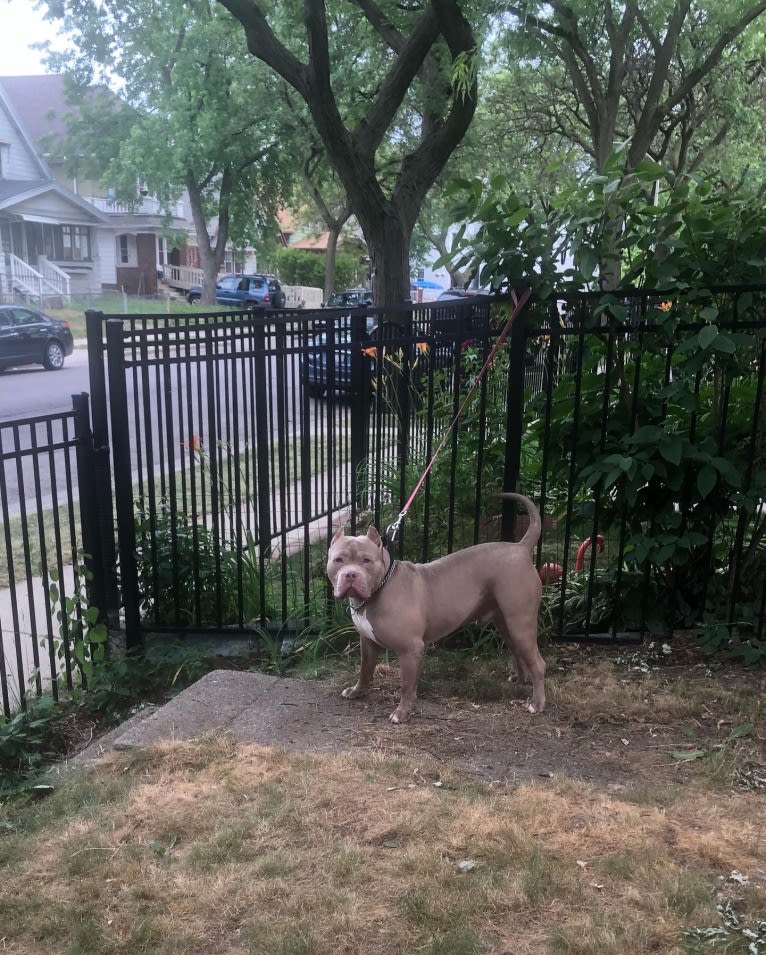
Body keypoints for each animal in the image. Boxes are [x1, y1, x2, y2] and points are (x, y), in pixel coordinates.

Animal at [328, 492, 544, 724]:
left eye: (366, 560)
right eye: (338, 560)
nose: (351, 574)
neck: (380, 587)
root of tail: (520, 548)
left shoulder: (410, 649)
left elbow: (406, 685)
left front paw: (402, 713)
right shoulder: (367, 642)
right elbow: (365, 670)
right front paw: (357, 691)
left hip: (520, 623)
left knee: (538, 663)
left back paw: (536, 704)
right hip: (506, 624)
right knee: (518, 652)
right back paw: (520, 680)